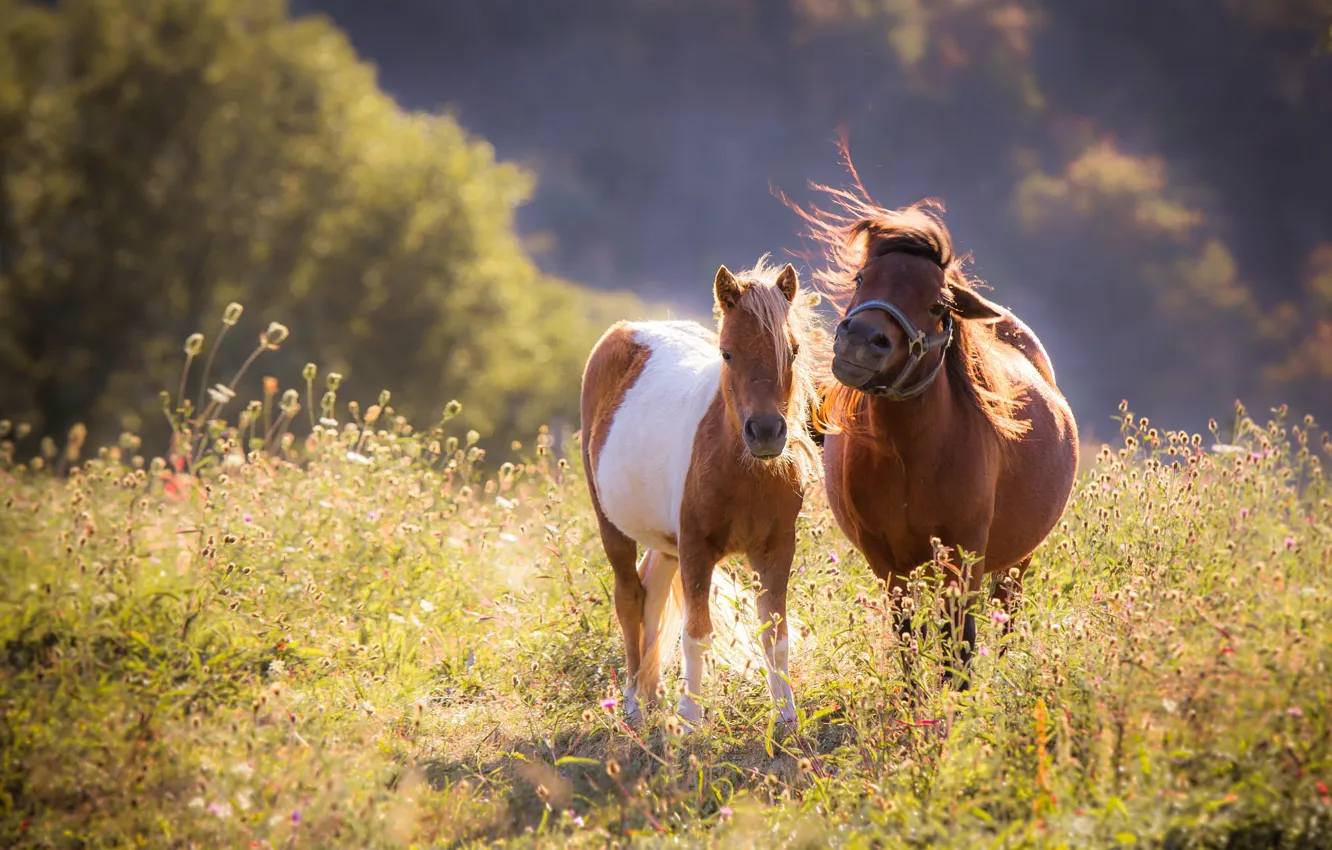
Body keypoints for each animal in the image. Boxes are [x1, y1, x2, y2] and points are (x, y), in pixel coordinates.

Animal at [579, 257, 821, 726]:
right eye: (727, 353)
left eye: (794, 349)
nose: (767, 433)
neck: (742, 469)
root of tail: (625, 331)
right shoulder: (695, 549)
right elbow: (696, 634)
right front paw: (690, 718)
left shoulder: (776, 550)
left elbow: (775, 635)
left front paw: (786, 714)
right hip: (612, 527)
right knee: (630, 599)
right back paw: (635, 701)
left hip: (668, 545)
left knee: (652, 598)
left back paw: (651, 694)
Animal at [795, 184, 1078, 685]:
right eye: (861, 279)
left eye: (938, 305)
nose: (861, 340)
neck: (910, 457)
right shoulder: (888, 562)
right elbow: (907, 638)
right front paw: (915, 699)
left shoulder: (962, 557)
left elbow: (958, 644)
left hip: (1016, 563)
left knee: (1006, 619)